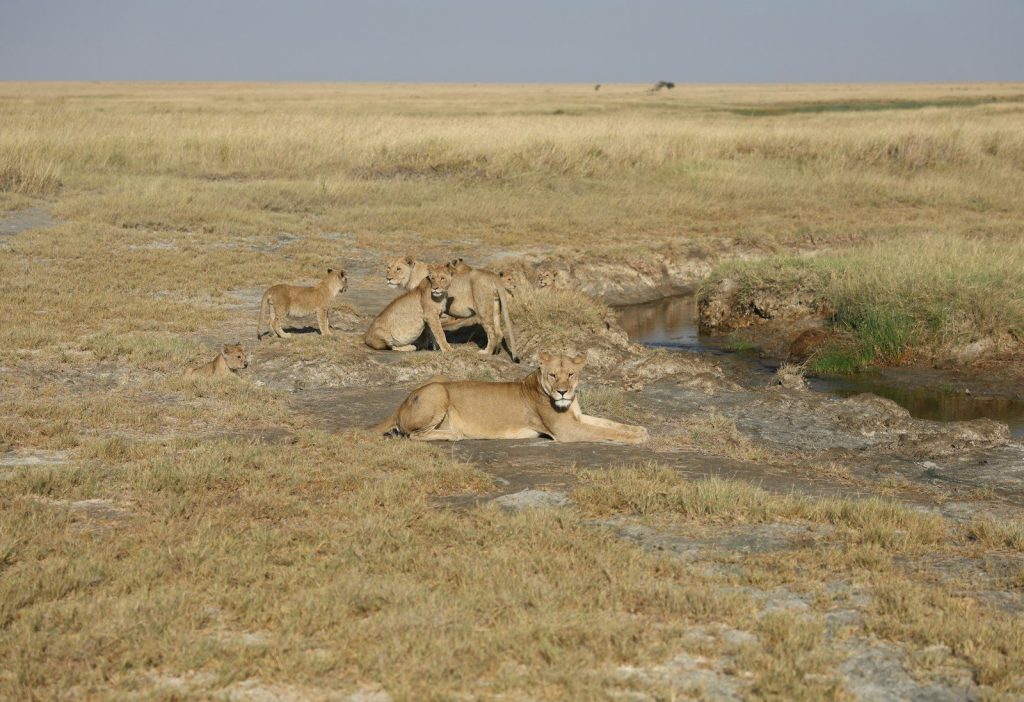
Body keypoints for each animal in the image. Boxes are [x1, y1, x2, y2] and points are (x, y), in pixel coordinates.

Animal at [370, 351, 648, 444]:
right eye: (552, 375)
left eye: (570, 374)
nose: (562, 391)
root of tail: (401, 403)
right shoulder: (567, 431)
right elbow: (604, 431)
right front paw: (636, 438)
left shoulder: (577, 418)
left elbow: (610, 423)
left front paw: (639, 429)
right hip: (437, 391)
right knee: (413, 435)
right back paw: (453, 434)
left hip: (440, 377)